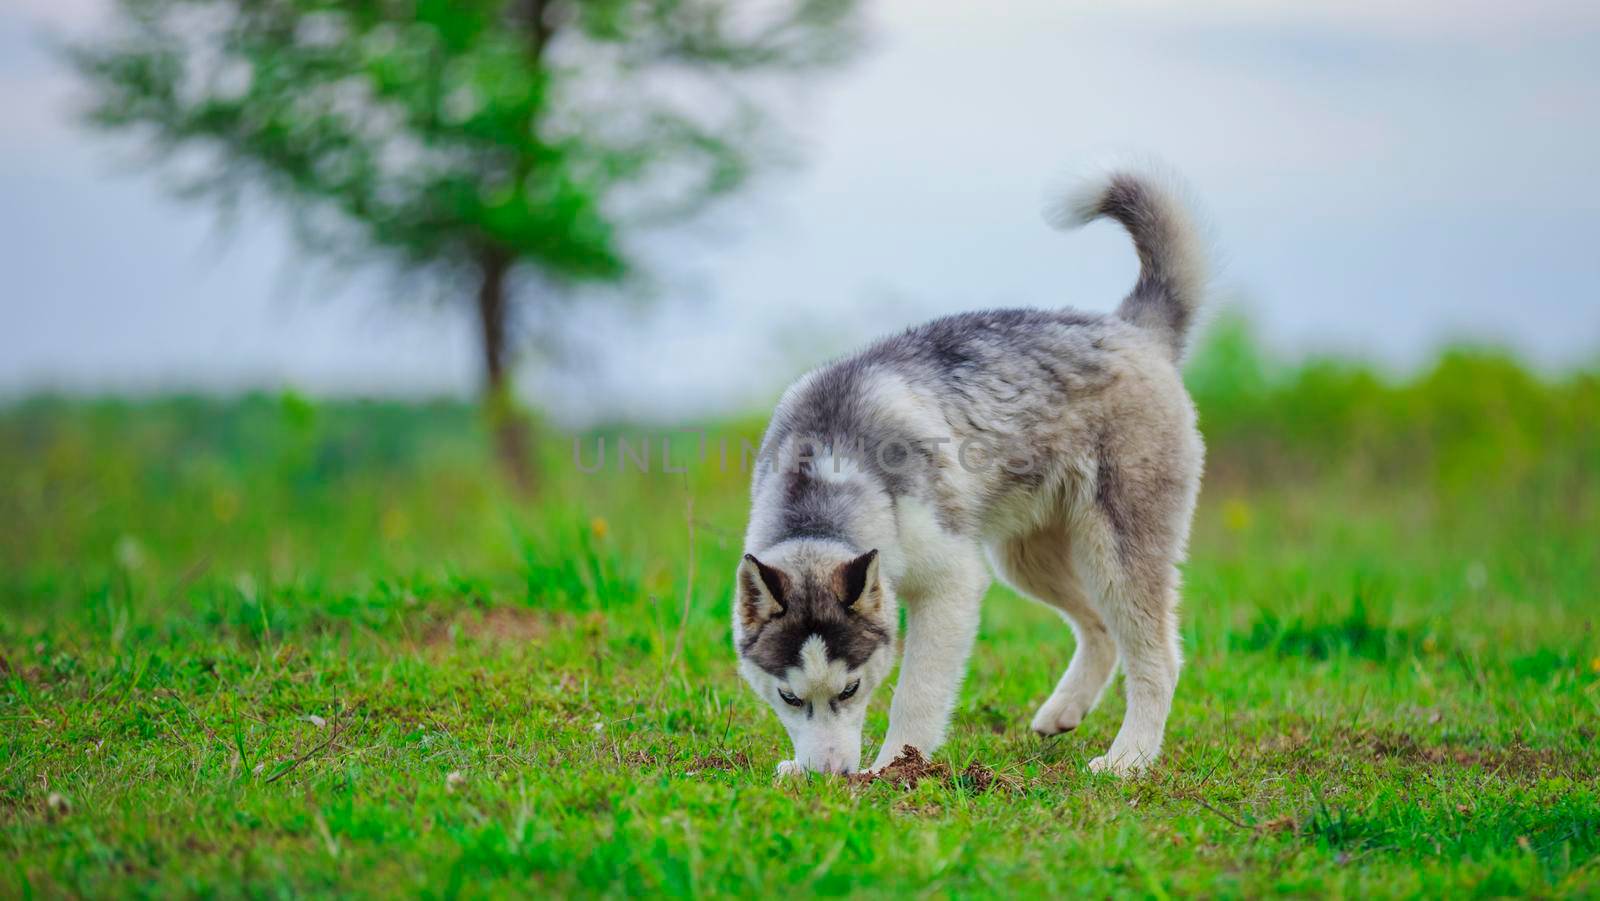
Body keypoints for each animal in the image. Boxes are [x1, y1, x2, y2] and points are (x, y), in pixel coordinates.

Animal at [732, 172, 1203, 777]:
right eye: (789, 697)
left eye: (850, 689)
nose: (830, 776)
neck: (829, 473)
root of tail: (1129, 328)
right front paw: (803, 766)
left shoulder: (951, 584)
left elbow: (916, 694)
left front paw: (893, 768)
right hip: (1024, 559)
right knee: (1099, 628)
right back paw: (1065, 711)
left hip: (1117, 550)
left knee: (1158, 656)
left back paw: (1131, 758)